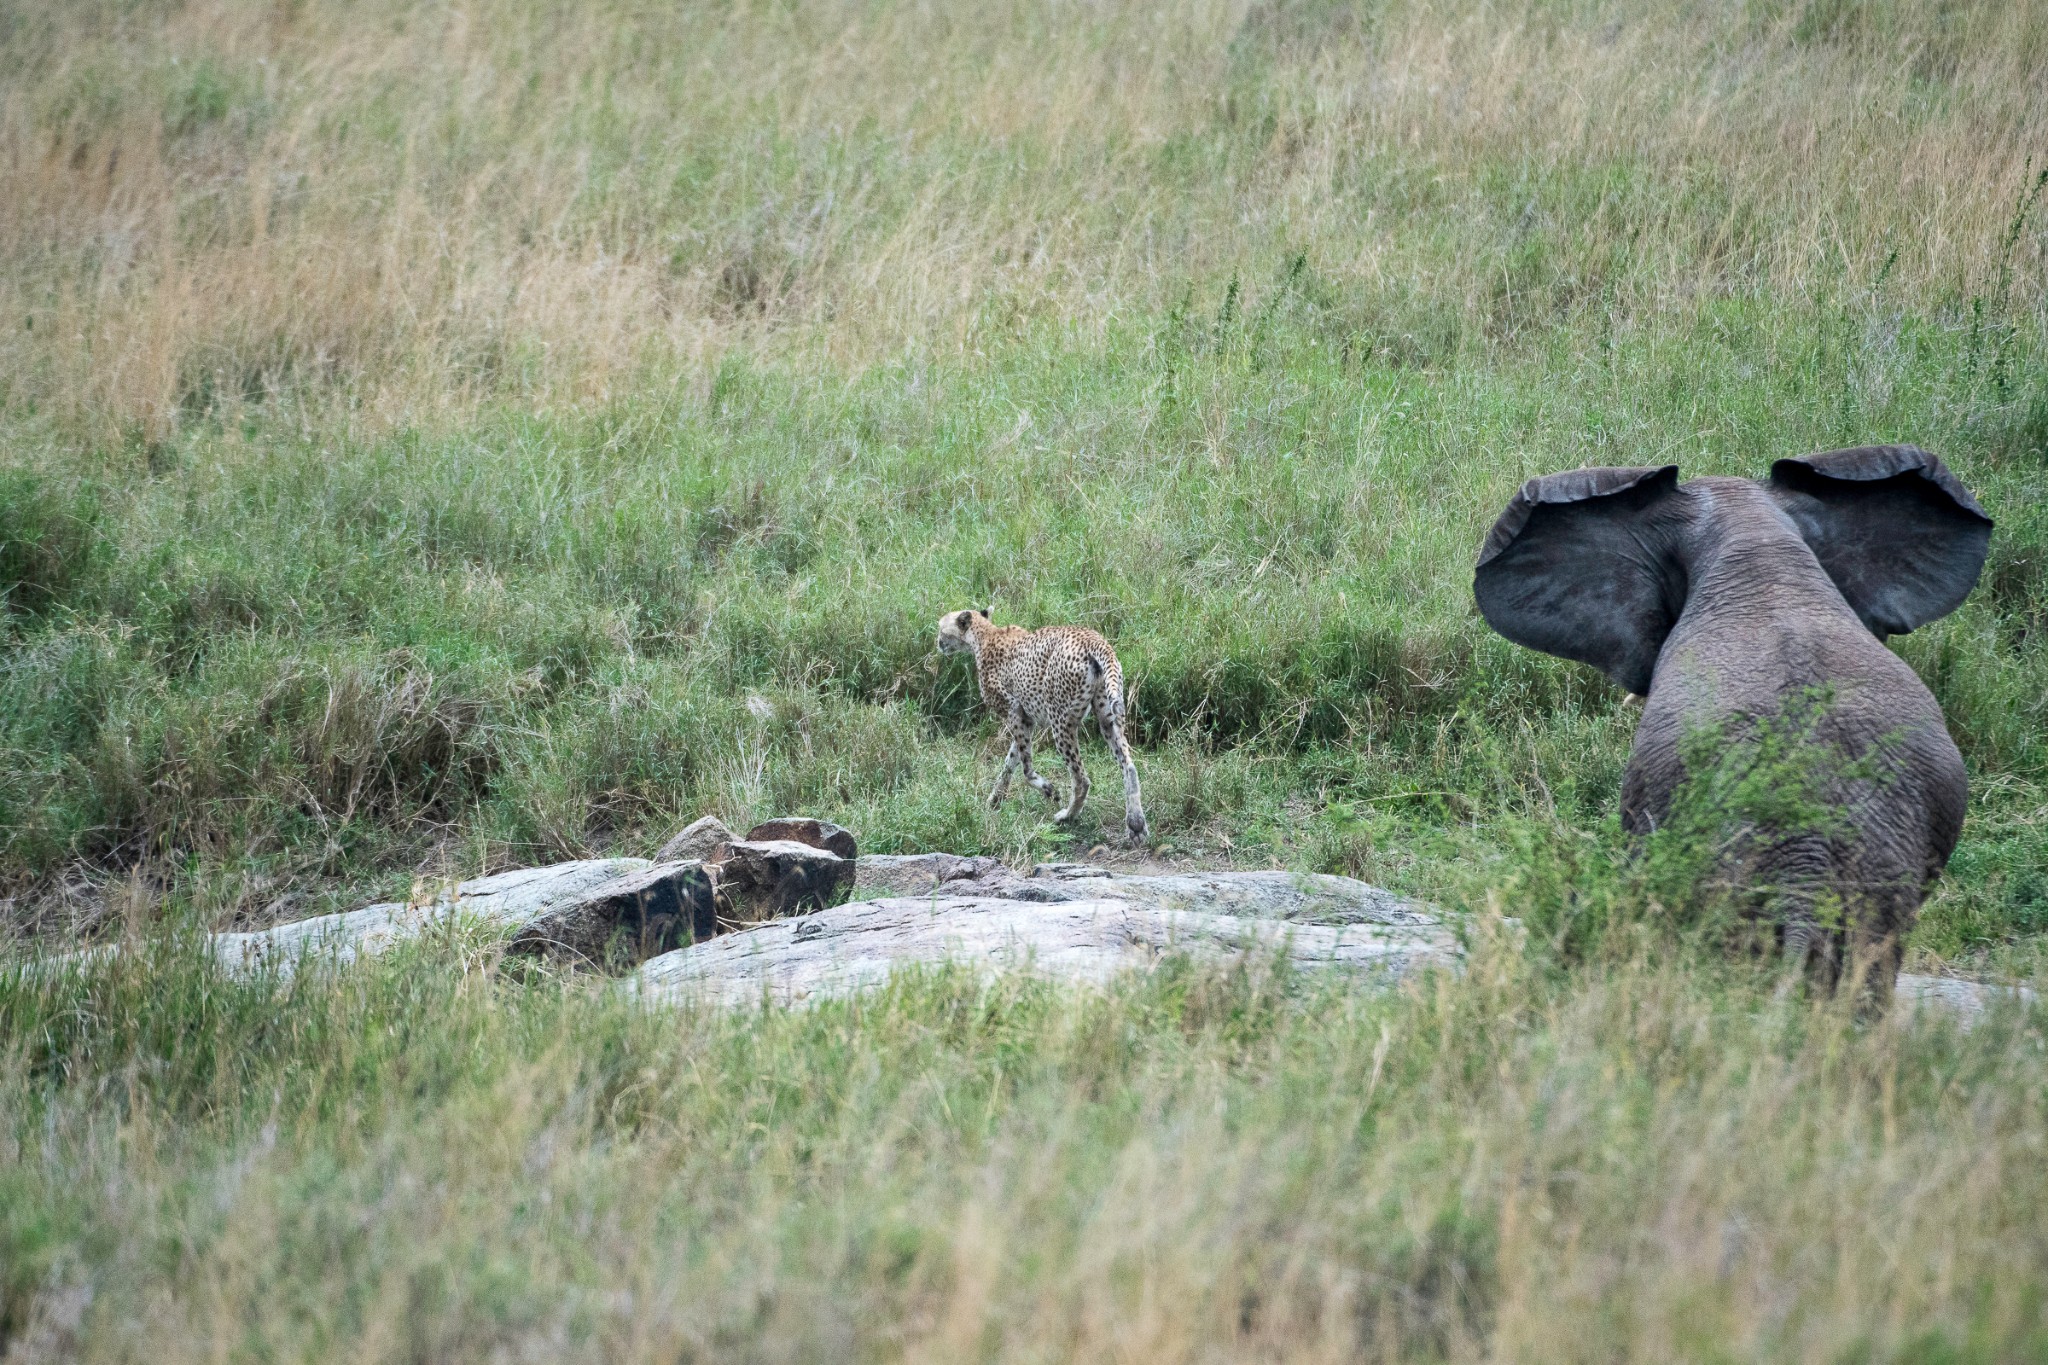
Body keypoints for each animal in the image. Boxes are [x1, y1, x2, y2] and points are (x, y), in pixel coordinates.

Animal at [933, 609, 1146, 843]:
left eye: (941, 628)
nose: (938, 643)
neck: (984, 635)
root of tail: (1091, 637)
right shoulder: (1026, 719)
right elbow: (1010, 761)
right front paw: (994, 800)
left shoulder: (1014, 711)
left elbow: (1025, 768)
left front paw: (1048, 790)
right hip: (1107, 716)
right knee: (1129, 766)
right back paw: (1136, 824)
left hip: (1060, 720)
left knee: (1081, 779)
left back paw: (1067, 816)